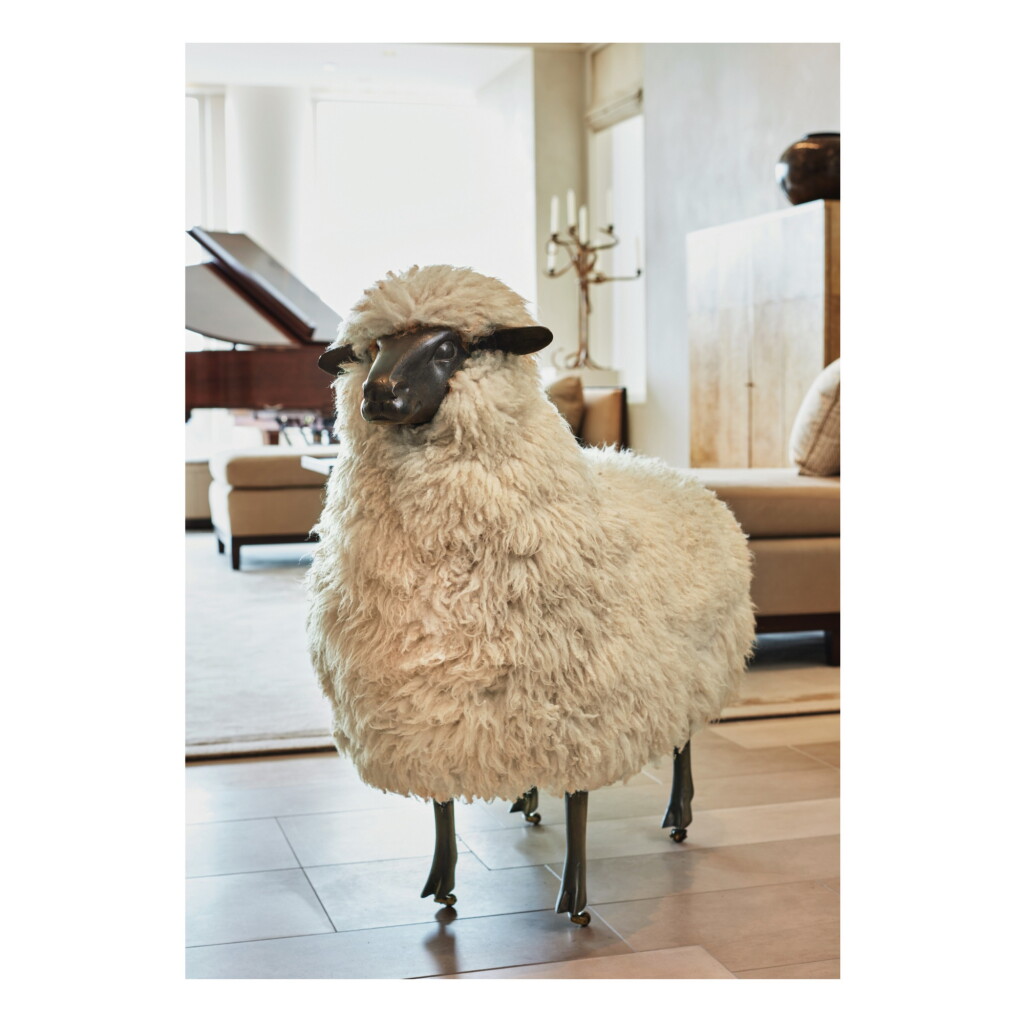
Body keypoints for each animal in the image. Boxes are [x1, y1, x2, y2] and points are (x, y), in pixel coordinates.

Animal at [306, 264, 755, 926]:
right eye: (373, 348)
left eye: (451, 348)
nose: (378, 394)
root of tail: (673, 473)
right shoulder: (429, 712)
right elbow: (442, 802)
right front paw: (443, 883)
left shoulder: (583, 705)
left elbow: (580, 803)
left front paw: (576, 900)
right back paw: (526, 798)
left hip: (695, 665)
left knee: (683, 742)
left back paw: (679, 815)